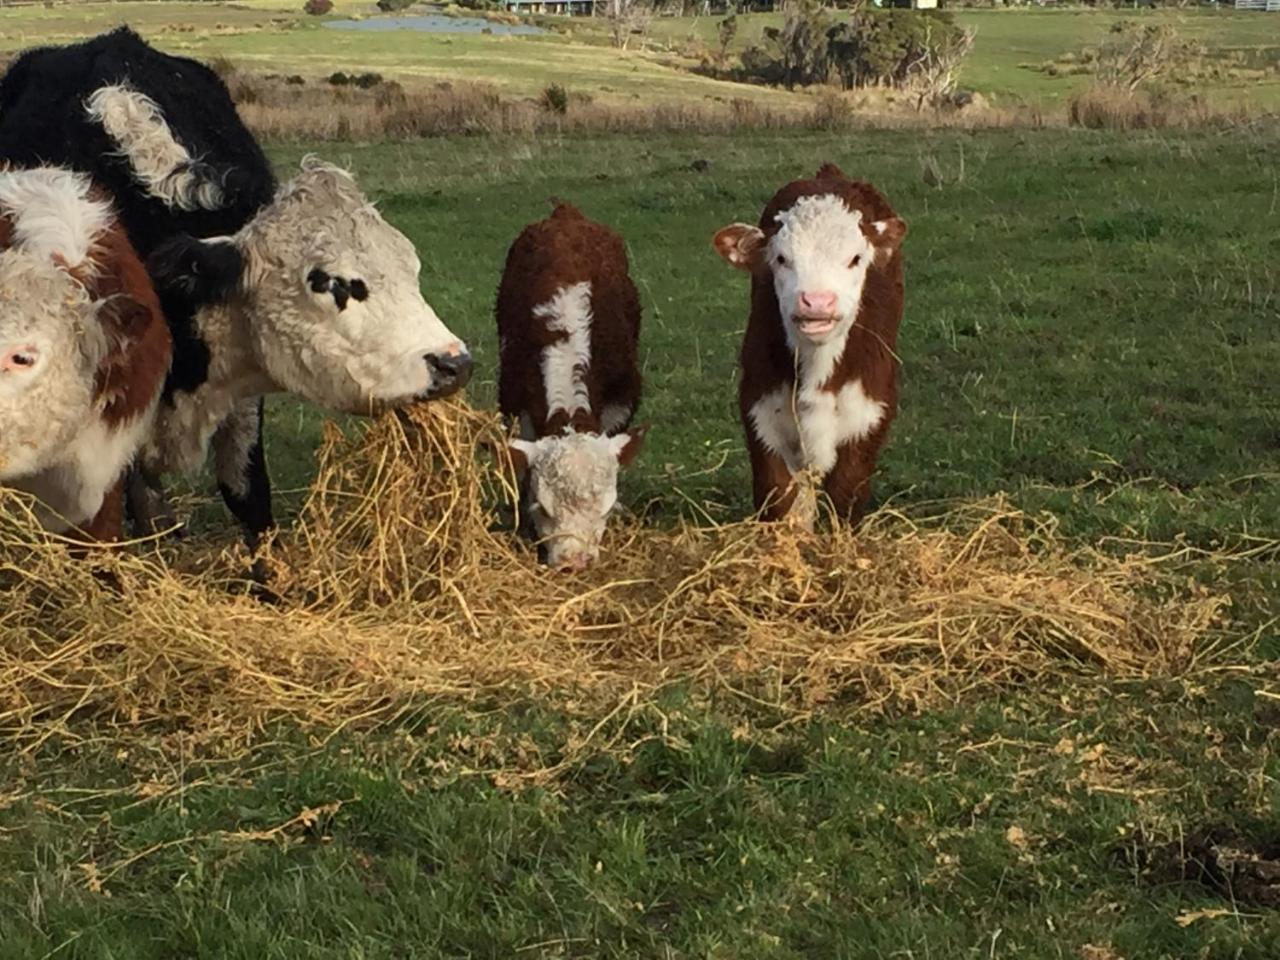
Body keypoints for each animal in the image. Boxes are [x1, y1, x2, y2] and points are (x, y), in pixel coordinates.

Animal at [494, 198, 645, 568]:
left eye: (605, 507)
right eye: (545, 507)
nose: (573, 563)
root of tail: (565, 213)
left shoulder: (622, 397)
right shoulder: (514, 399)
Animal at [711, 163, 911, 527]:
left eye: (855, 258)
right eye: (780, 258)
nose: (817, 301)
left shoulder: (868, 417)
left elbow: (844, 500)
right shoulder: (762, 413)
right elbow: (778, 500)